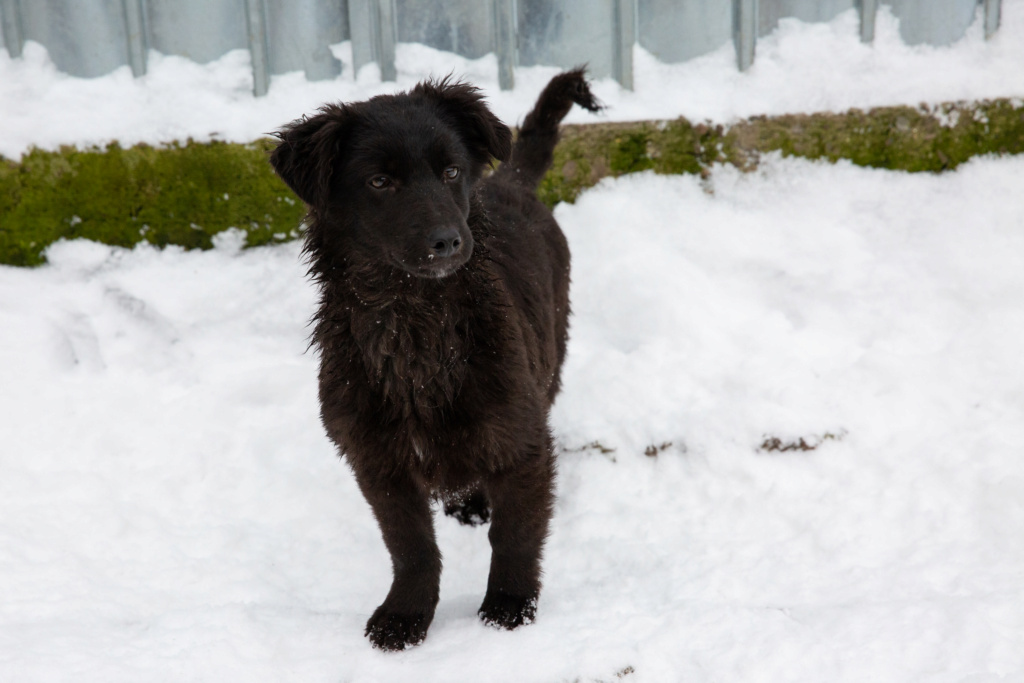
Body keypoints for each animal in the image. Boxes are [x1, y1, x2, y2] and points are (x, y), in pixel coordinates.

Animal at [268, 69, 598, 651]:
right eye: (379, 182)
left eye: (451, 172)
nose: (447, 242)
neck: (413, 323)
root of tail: (510, 181)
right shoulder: (376, 460)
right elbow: (411, 546)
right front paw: (407, 614)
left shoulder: (523, 440)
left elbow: (515, 533)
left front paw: (509, 605)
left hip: (552, 356)